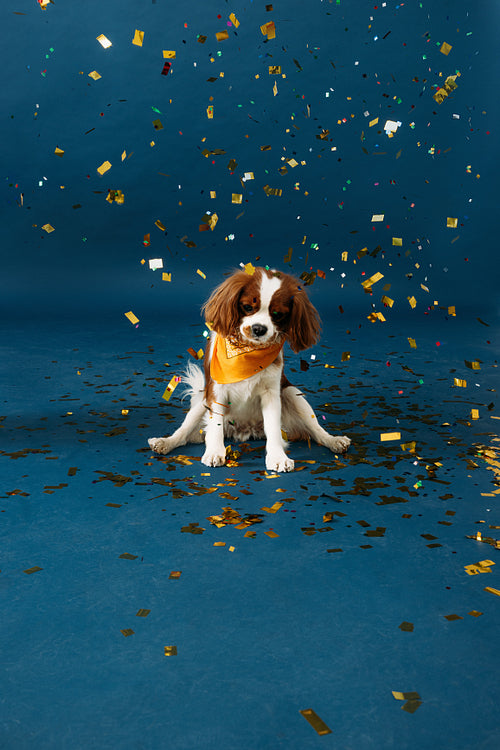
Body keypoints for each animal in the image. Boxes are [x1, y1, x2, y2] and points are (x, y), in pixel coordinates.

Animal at [148, 268, 352, 472]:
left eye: (277, 314)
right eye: (247, 307)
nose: (259, 328)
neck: (246, 352)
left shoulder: (271, 393)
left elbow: (273, 427)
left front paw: (277, 457)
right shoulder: (216, 391)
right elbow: (215, 425)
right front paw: (214, 452)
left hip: (292, 394)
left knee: (315, 431)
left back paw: (334, 441)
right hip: (201, 403)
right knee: (184, 434)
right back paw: (165, 442)